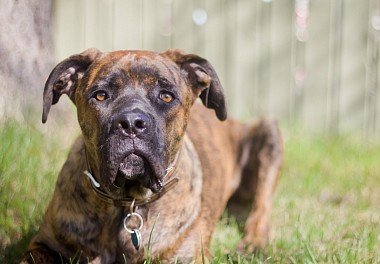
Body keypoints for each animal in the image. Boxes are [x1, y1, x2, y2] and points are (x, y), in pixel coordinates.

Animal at [20, 48, 282, 262]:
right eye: (101, 95)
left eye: (166, 96)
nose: (131, 123)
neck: (128, 204)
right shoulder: (45, 244)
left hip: (269, 134)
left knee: (260, 212)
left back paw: (253, 245)